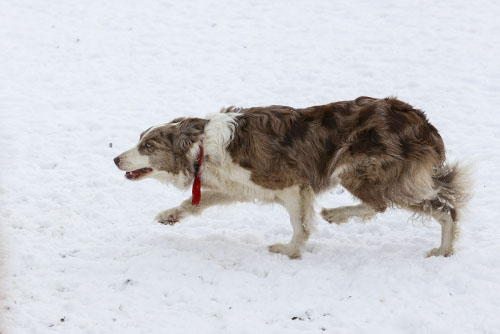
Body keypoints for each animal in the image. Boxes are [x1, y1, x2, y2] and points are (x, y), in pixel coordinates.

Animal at [113, 96, 468, 258]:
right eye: (141, 139)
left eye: (147, 145)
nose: (116, 159)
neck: (202, 148)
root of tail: (424, 124)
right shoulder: (232, 187)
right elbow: (193, 202)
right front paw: (169, 215)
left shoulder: (291, 184)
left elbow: (300, 225)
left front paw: (290, 251)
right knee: (432, 207)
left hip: (359, 169)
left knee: (421, 207)